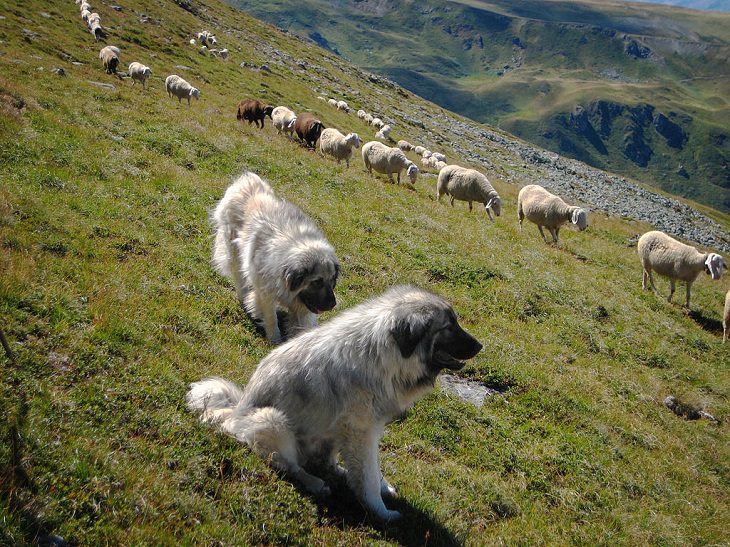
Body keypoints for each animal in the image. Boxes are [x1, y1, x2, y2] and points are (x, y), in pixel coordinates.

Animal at [185, 286, 480, 524]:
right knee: (286, 463)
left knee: (325, 459)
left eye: (455, 322)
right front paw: (381, 512)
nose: (480, 345)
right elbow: (369, 478)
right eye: (449, 327)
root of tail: (233, 414)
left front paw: (381, 488)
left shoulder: (364, 432)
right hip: (274, 421)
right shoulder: (362, 431)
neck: (381, 354)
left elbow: (371, 468)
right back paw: (315, 482)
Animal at [209, 171, 336, 342]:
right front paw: (274, 338)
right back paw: (244, 297)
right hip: (235, 253)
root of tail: (247, 179)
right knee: (240, 278)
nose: (333, 304)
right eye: (317, 282)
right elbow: (271, 318)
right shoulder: (266, 293)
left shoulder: (303, 307)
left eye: (332, 280)